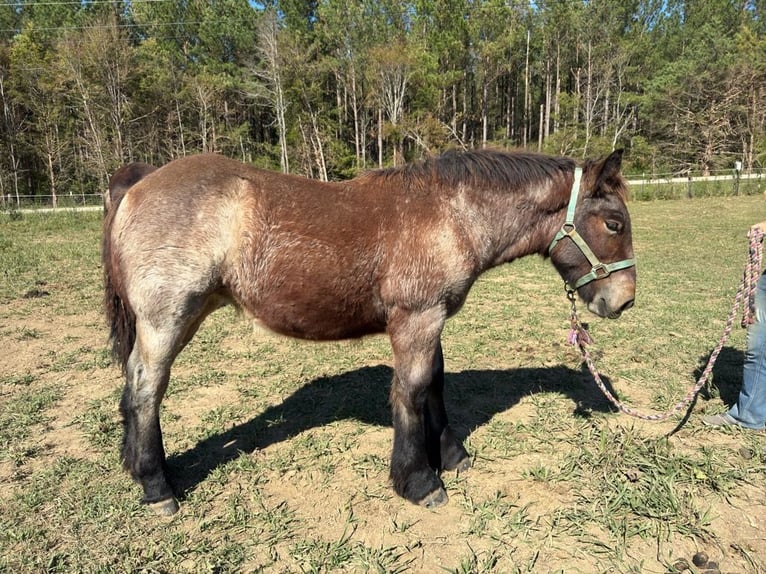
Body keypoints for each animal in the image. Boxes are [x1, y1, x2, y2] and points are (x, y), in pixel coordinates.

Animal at [103, 148, 640, 516]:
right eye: (614, 223)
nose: (624, 300)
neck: (450, 215)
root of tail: (139, 181)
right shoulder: (417, 317)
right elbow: (412, 391)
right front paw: (420, 481)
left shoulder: (430, 319)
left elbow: (435, 384)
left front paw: (451, 456)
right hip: (168, 318)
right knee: (147, 389)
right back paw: (157, 488)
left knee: (132, 385)